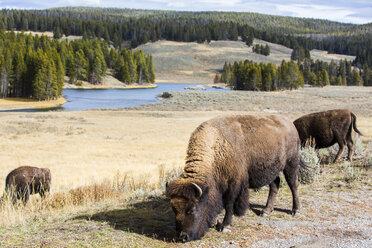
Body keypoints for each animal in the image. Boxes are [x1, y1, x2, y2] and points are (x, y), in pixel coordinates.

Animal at [166, 115, 306, 242]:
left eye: (192, 209)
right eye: (174, 209)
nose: (182, 237)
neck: (216, 147)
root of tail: (290, 123)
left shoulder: (233, 185)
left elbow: (229, 204)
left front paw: (224, 225)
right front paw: (215, 222)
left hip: (291, 163)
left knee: (293, 184)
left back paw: (296, 210)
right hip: (271, 169)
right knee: (275, 184)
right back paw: (266, 211)